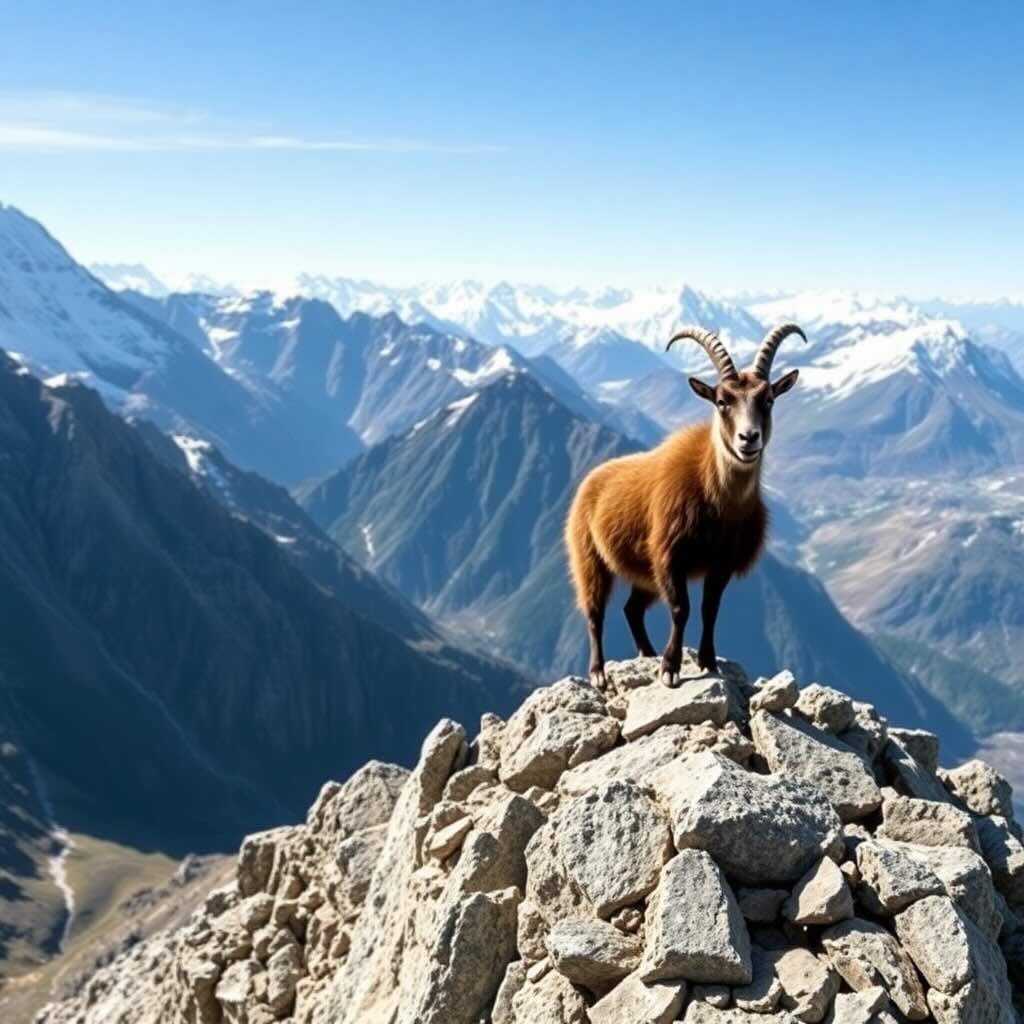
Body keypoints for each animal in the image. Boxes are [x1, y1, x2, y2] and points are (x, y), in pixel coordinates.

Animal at [565, 323, 807, 687]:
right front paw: (670, 668)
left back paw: (647, 653)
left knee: (632, 609)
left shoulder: (721, 563)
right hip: (590, 556)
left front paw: (707, 661)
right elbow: (682, 609)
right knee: (595, 611)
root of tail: (592, 479)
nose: (748, 438)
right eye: (722, 401)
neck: (718, 501)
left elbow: (710, 610)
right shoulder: (670, 556)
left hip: (644, 572)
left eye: (768, 399)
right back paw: (599, 673)